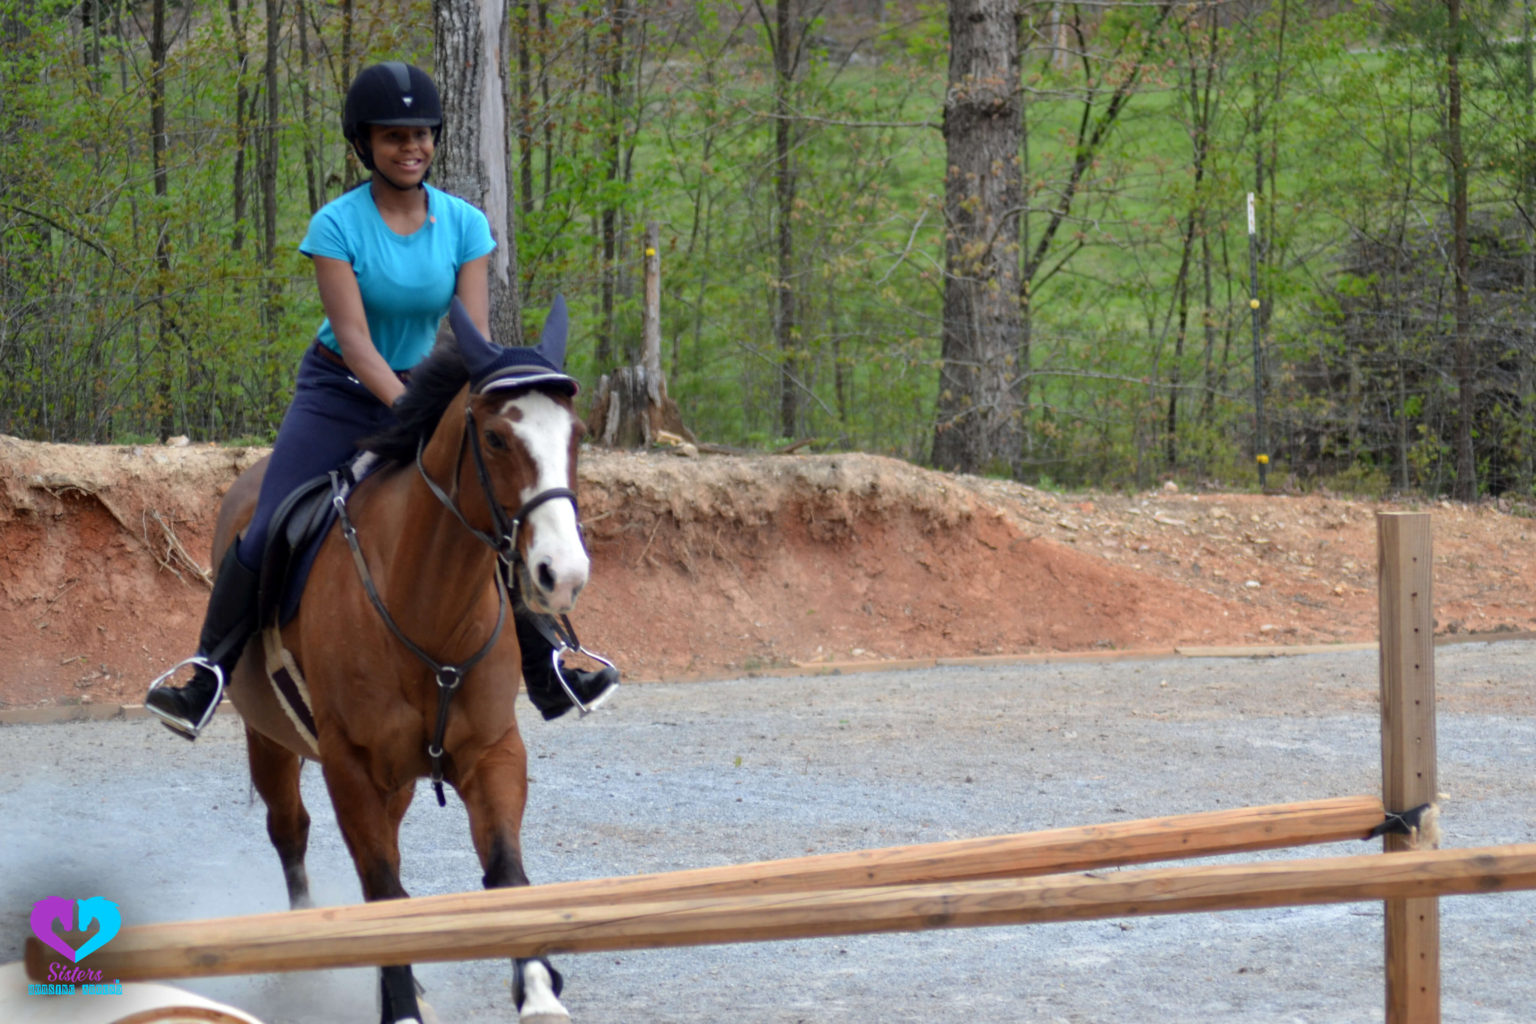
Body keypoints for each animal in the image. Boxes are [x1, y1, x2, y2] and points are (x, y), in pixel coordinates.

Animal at [215, 301, 587, 1024]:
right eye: (496, 439)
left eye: (574, 437)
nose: (562, 574)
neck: (427, 610)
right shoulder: (352, 765)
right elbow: (382, 888)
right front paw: (401, 1006)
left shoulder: (492, 750)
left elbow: (505, 872)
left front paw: (537, 990)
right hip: (269, 740)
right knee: (292, 833)